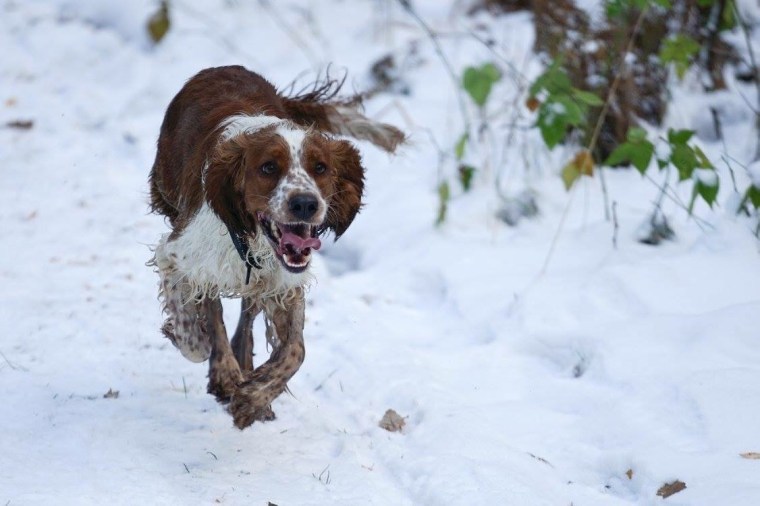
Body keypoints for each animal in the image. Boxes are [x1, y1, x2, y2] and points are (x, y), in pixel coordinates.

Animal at [148, 66, 403, 428]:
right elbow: (199, 334)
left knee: (247, 314)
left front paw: (254, 397)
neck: (254, 241)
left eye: (320, 167)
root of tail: (223, 68)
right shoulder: (177, 256)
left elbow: (295, 350)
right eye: (268, 167)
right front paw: (216, 365)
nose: (305, 204)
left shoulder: (284, 284)